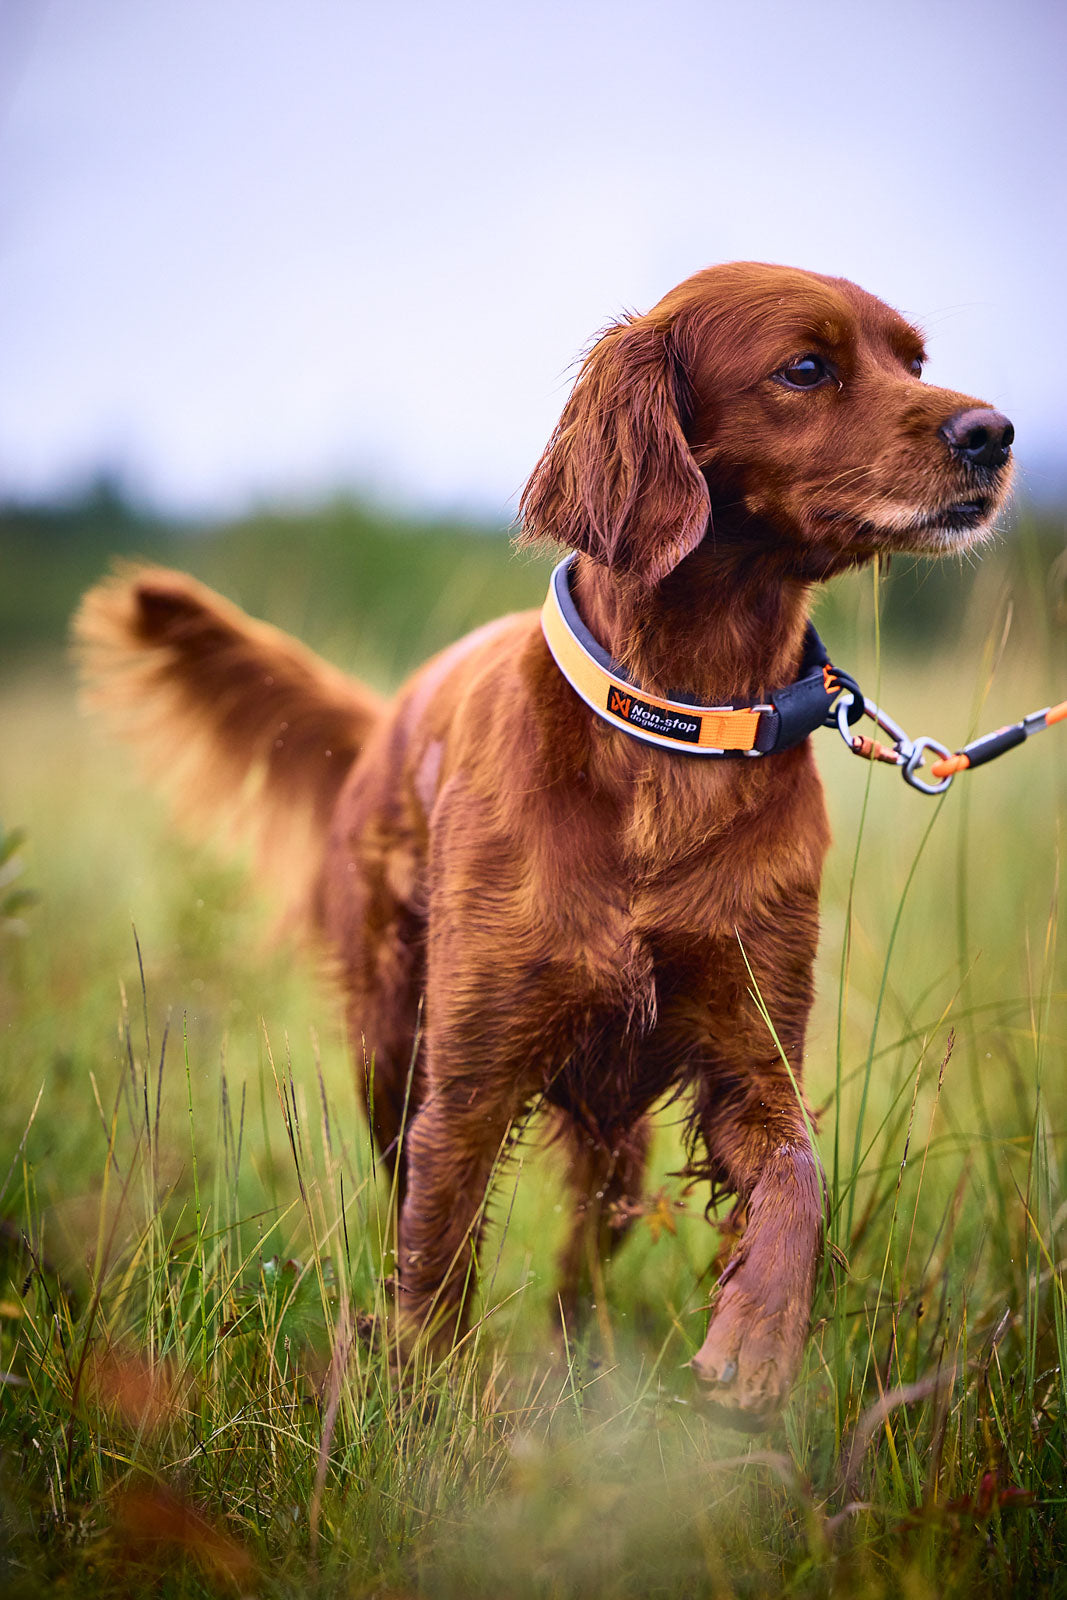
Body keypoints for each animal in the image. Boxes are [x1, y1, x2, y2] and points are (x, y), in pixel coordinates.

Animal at [77, 262, 1017, 1427]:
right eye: (805, 367)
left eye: (914, 361)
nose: (993, 432)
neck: (676, 726)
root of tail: (384, 718)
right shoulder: (471, 1074)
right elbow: (434, 1264)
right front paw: (422, 1414)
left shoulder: (748, 1050)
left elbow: (796, 1176)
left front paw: (755, 1339)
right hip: (389, 1045)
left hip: (613, 1129)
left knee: (588, 1249)